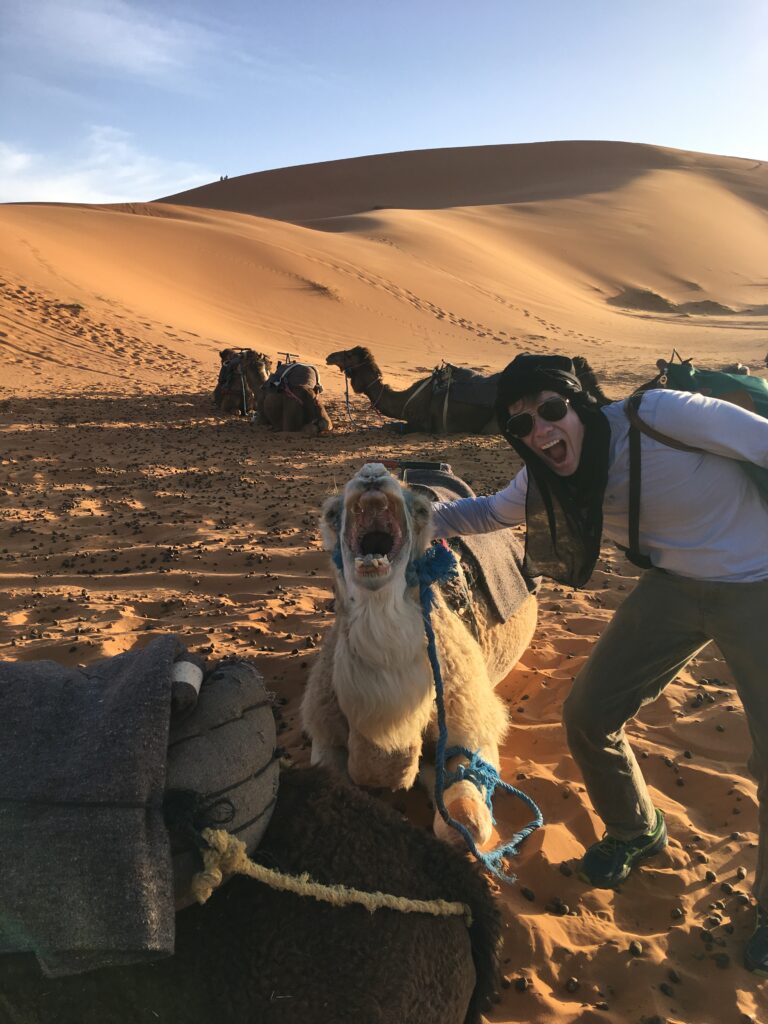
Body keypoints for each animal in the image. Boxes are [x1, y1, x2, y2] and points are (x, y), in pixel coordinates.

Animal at [296, 464, 536, 847]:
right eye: (331, 514)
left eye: (422, 511)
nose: (372, 473)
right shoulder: (324, 726)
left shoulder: (472, 719)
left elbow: (466, 822)